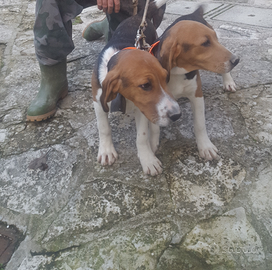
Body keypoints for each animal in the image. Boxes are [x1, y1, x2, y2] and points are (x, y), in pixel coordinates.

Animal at [91, 13, 181, 175]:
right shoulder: (98, 100)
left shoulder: (142, 108)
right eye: (145, 85)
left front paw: (148, 159)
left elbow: (142, 137)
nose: (177, 115)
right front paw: (106, 151)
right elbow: (104, 128)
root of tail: (138, 15)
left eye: (166, 78)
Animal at [151, 6, 240, 160]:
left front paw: (205, 146)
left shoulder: (197, 95)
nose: (236, 60)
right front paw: (153, 143)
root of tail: (194, 13)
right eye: (205, 43)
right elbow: (154, 125)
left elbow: (200, 124)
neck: (177, 73)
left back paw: (228, 81)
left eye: (213, 39)